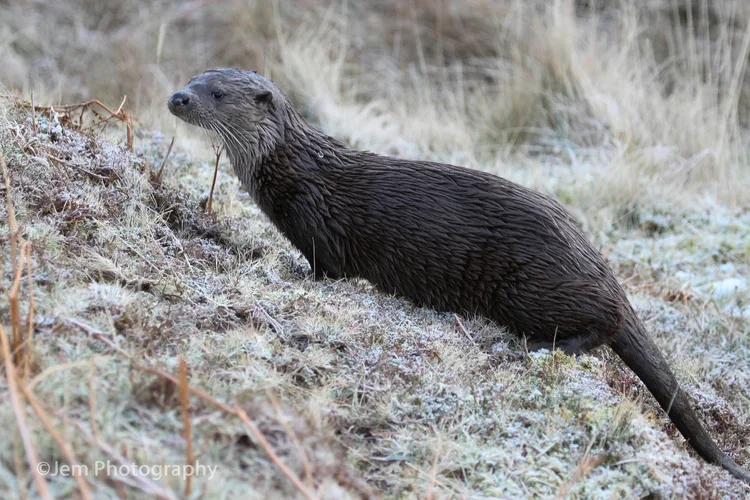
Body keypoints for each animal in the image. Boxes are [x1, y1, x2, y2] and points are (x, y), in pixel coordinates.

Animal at [168, 68, 750, 484]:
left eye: (215, 93)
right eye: (193, 78)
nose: (177, 98)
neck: (292, 170)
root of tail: (595, 260)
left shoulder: (319, 225)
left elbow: (325, 269)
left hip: (528, 284)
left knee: (604, 322)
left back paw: (544, 347)